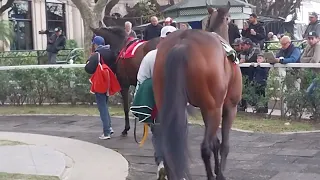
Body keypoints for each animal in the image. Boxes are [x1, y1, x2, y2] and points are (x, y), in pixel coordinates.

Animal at [152, 1, 242, 180]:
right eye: (230, 19)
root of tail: (182, 43)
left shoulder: (205, 110)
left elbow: (216, 143)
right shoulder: (229, 107)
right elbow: (223, 144)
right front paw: (220, 173)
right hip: (214, 109)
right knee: (205, 147)